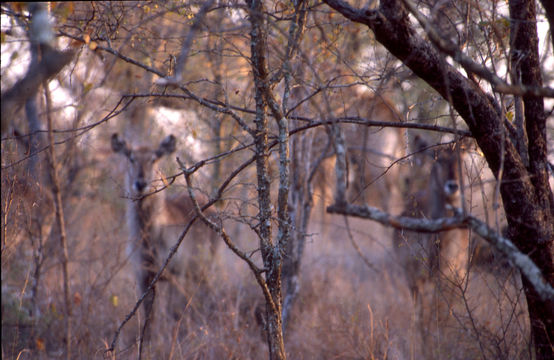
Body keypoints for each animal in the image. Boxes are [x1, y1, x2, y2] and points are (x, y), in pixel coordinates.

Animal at [110, 135, 216, 346]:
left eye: (154, 159)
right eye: (131, 158)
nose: (140, 183)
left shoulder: (177, 272)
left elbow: (173, 312)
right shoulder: (143, 274)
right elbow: (148, 315)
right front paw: (147, 343)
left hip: (204, 267)